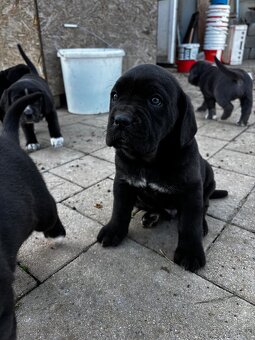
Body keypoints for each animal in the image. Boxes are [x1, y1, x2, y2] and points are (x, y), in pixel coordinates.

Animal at [96, 63, 228, 270]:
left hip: (208, 180)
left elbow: (190, 222)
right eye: (115, 96)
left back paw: (202, 225)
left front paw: (190, 252)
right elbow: (119, 210)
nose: (121, 119)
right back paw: (151, 216)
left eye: (155, 100)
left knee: (203, 208)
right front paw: (113, 230)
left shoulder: (192, 192)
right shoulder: (123, 183)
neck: (149, 159)